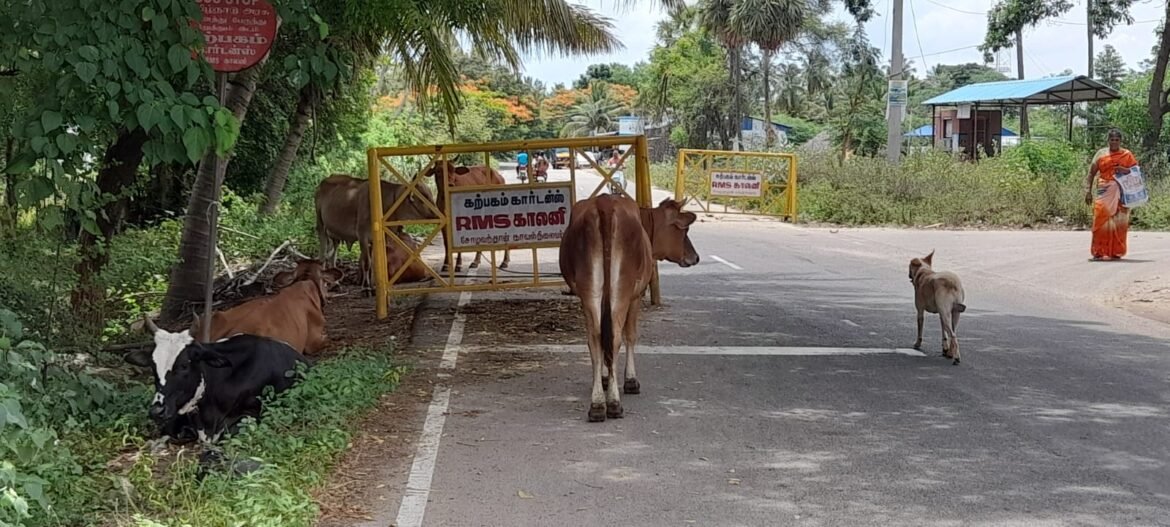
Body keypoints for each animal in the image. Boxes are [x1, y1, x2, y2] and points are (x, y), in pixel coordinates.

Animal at [554, 195, 692, 421]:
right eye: (684, 230)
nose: (695, 257)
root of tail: (605, 204)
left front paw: (603, 377)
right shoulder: (636, 295)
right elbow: (631, 335)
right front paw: (630, 380)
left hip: (589, 291)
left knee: (595, 337)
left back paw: (597, 404)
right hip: (622, 290)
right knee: (616, 336)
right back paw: (613, 403)